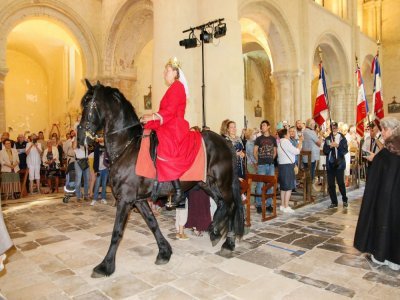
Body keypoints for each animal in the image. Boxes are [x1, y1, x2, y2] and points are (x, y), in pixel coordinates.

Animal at [76, 79, 242, 276]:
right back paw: (215, 230)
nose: (80, 137)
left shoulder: (125, 199)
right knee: (223, 204)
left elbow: (117, 232)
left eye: (89, 104)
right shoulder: (138, 200)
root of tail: (226, 141)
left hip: (222, 183)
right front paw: (164, 252)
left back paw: (227, 242)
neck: (128, 146)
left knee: (231, 205)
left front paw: (106, 265)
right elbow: (152, 223)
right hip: (207, 184)